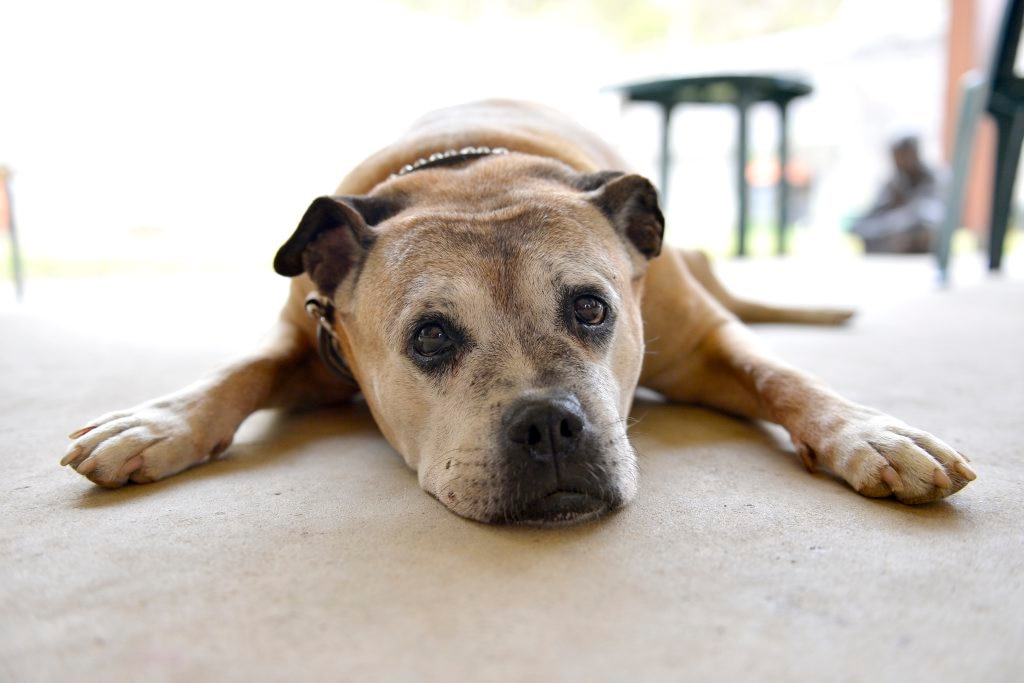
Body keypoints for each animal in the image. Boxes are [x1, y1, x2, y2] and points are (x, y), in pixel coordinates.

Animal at [58, 100, 974, 524]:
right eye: (430, 335)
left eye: (593, 308)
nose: (549, 425)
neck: (472, 174)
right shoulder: (300, 335)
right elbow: (238, 370)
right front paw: (159, 420)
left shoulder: (708, 340)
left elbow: (782, 375)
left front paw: (870, 432)